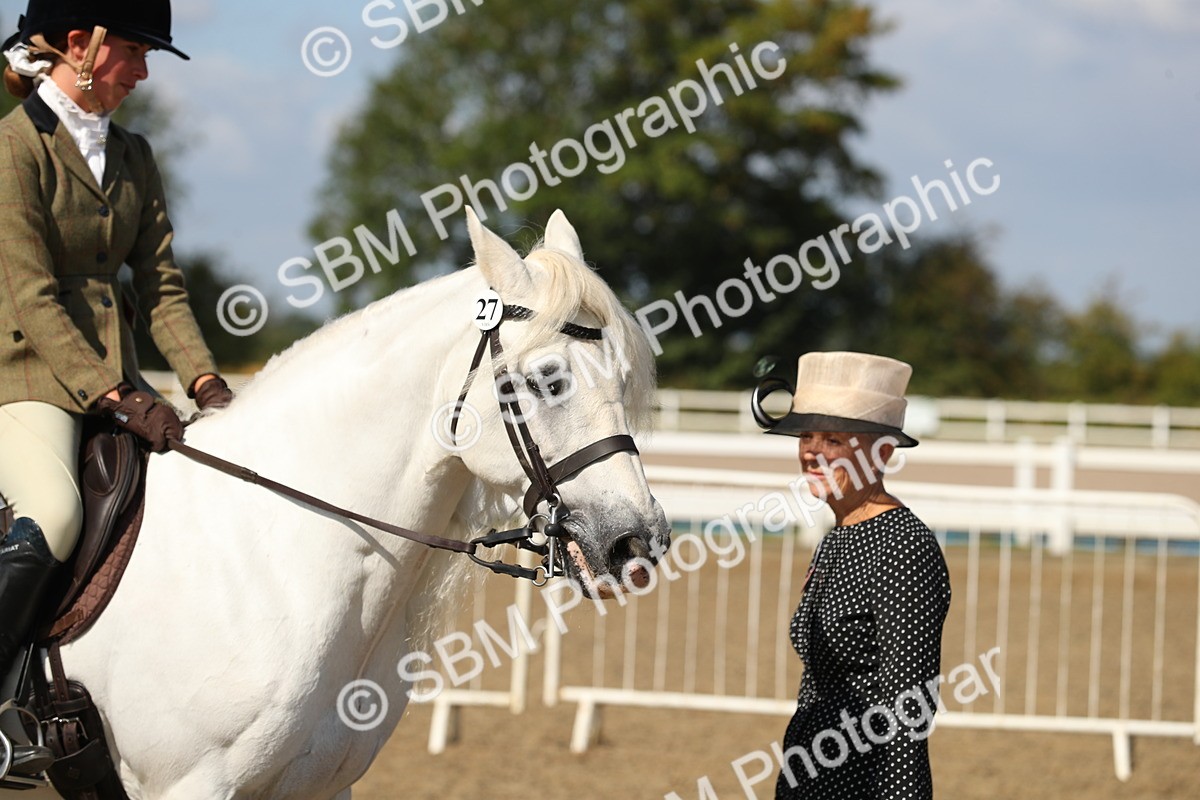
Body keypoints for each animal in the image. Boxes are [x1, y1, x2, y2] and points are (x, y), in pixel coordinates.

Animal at [2, 208, 668, 798]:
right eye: (548, 379)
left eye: (623, 376)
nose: (636, 543)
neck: (270, 557)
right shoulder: (185, 787)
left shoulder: (323, 785)